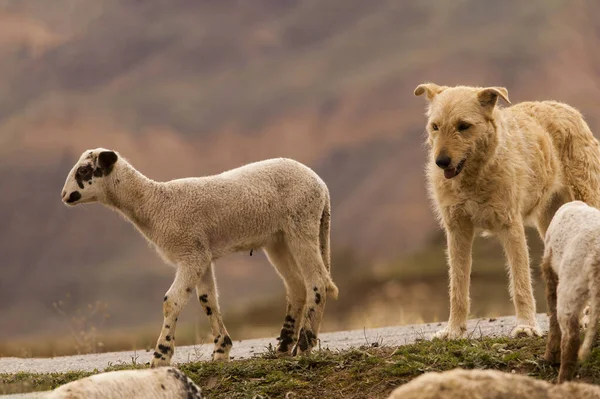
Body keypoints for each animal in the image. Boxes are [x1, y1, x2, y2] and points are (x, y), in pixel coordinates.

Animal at [62, 148, 340, 368]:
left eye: (84, 170)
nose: (64, 196)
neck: (156, 204)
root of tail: (322, 186)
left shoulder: (190, 254)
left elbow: (171, 301)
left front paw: (160, 357)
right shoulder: (201, 254)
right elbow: (207, 300)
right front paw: (220, 352)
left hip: (301, 223)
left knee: (316, 282)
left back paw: (303, 347)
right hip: (278, 239)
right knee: (296, 285)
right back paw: (284, 346)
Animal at [414, 83, 600, 340]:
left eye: (464, 126)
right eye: (435, 127)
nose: (441, 161)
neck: (475, 176)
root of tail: (567, 108)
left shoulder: (511, 226)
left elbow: (521, 282)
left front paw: (526, 326)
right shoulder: (457, 229)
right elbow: (458, 288)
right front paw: (454, 331)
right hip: (552, 223)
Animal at [540, 202, 600, 382]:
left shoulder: (549, 268)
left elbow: (551, 310)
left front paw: (550, 357)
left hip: (571, 284)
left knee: (571, 337)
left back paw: (561, 381)